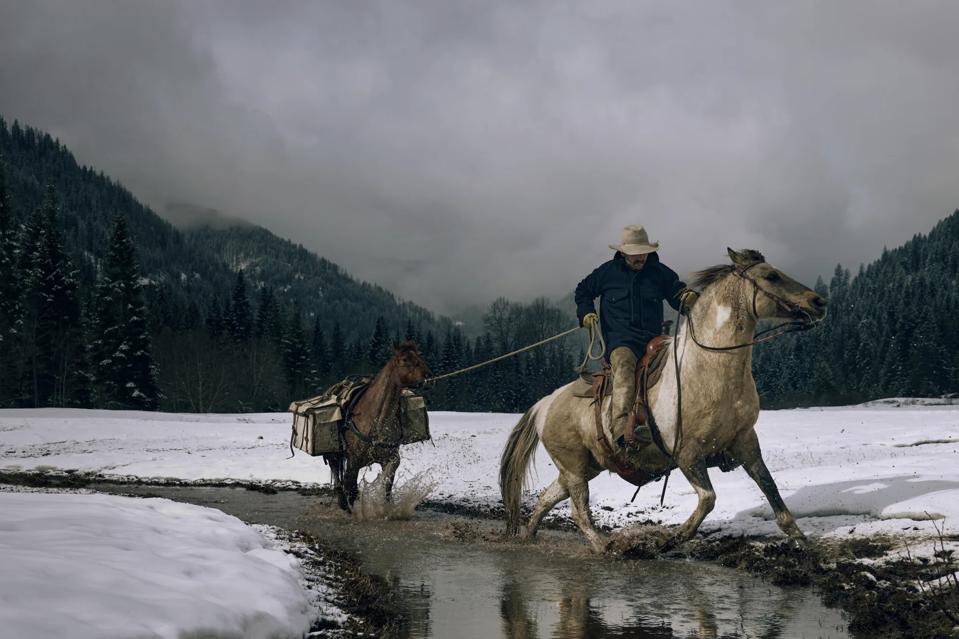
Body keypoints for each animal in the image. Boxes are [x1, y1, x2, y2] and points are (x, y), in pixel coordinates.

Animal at [332, 342, 434, 512]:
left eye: (419, 356)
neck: (378, 422)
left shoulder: (392, 460)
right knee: (336, 474)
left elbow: (386, 486)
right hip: (333, 455)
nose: (429, 377)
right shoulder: (354, 462)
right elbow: (350, 486)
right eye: (405, 359)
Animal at [502, 250, 824, 556]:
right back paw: (605, 548)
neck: (708, 367)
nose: (818, 301)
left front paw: (800, 539)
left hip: (583, 467)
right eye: (771, 276)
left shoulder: (745, 441)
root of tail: (545, 403)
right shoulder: (687, 453)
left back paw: (527, 538)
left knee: (546, 499)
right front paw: (670, 540)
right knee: (579, 512)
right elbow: (708, 499)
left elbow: (770, 488)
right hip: (574, 469)